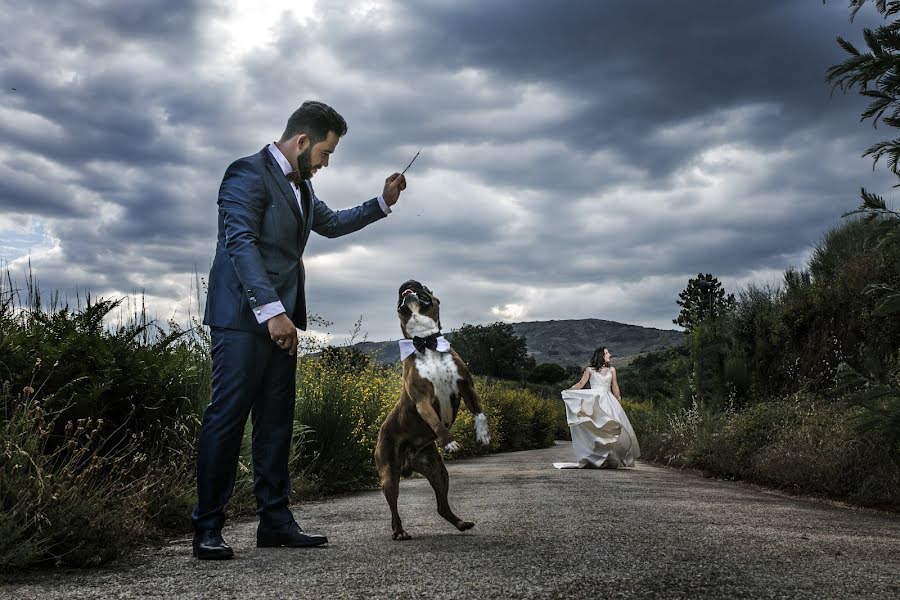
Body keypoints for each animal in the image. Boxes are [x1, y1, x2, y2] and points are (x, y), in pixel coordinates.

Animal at [374, 280, 492, 540]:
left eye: (423, 286)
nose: (408, 284)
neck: (426, 343)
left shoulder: (466, 386)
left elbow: (480, 413)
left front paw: (483, 436)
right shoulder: (423, 401)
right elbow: (437, 423)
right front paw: (450, 442)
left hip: (437, 471)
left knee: (441, 506)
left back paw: (461, 523)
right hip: (389, 476)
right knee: (393, 508)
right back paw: (399, 532)